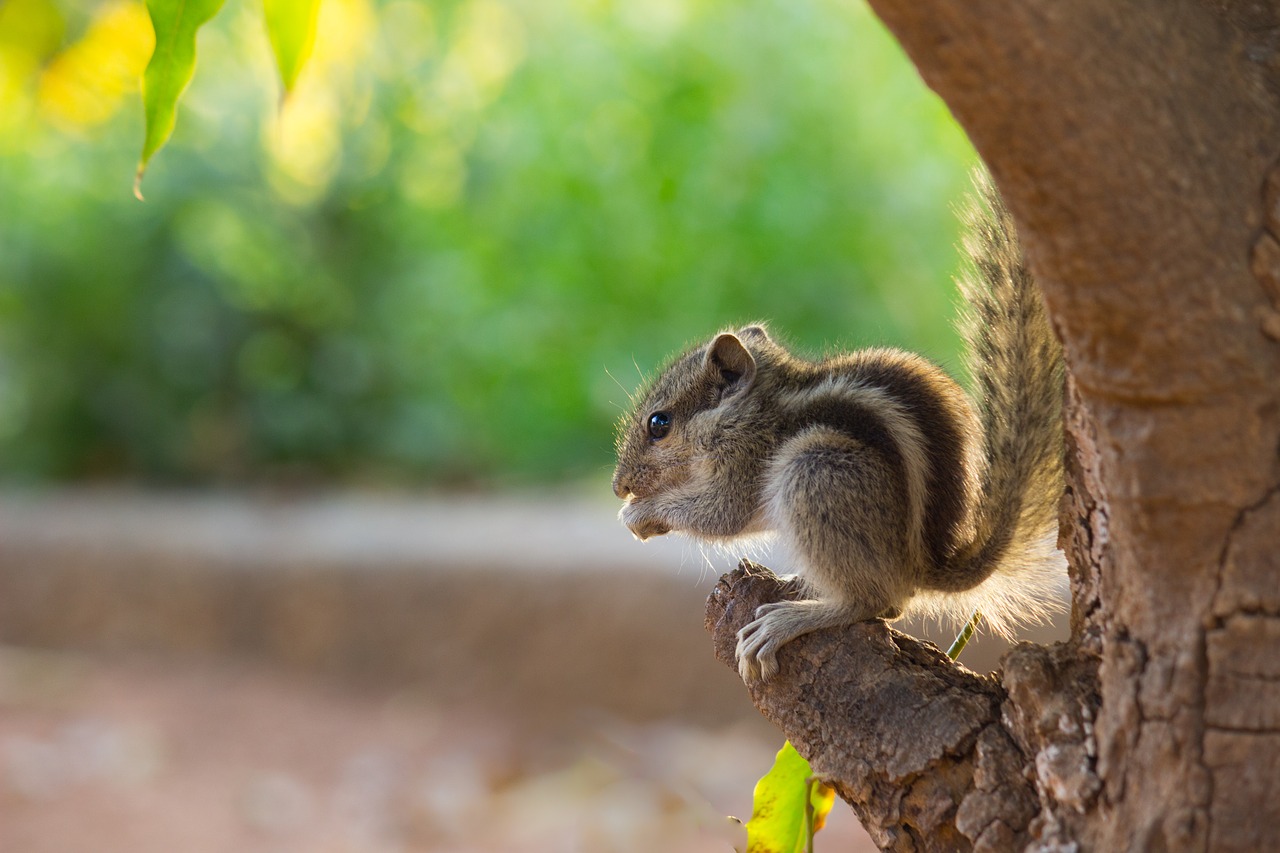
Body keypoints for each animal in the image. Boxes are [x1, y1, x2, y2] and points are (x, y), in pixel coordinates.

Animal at [609, 169, 1070, 681]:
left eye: (659, 423)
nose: (618, 485)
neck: (756, 406)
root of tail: (924, 568)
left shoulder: (745, 462)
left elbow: (721, 514)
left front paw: (640, 514)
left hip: (815, 472)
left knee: (877, 602)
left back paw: (791, 619)